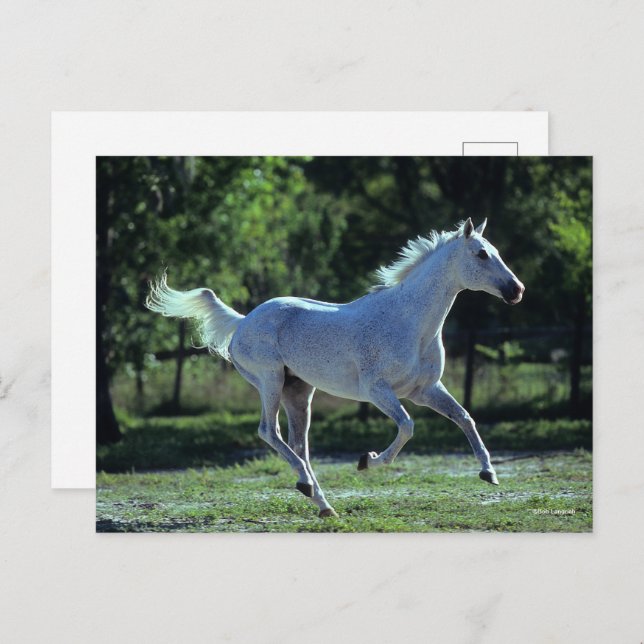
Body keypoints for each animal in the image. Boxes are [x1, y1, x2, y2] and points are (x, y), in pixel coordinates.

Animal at [146, 218, 524, 518]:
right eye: (481, 254)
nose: (517, 290)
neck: (409, 321)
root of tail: (242, 322)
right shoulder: (378, 390)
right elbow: (407, 427)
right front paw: (367, 460)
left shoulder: (424, 390)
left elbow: (464, 418)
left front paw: (489, 473)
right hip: (270, 381)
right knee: (269, 432)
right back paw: (308, 487)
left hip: (299, 392)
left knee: (299, 445)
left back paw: (322, 503)